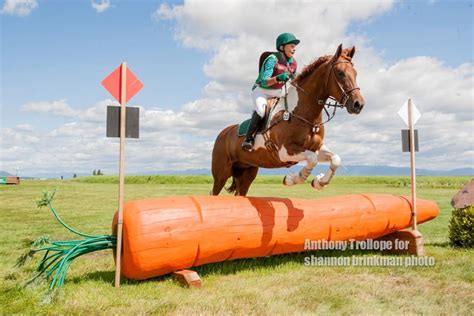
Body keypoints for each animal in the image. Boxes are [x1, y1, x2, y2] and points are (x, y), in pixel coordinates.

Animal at [212, 44, 366, 195]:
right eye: (340, 73)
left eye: (356, 73)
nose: (358, 105)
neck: (303, 114)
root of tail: (224, 133)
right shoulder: (285, 152)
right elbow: (312, 159)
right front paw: (291, 179)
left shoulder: (317, 147)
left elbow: (335, 159)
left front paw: (319, 182)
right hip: (221, 174)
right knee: (214, 191)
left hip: (246, 173)